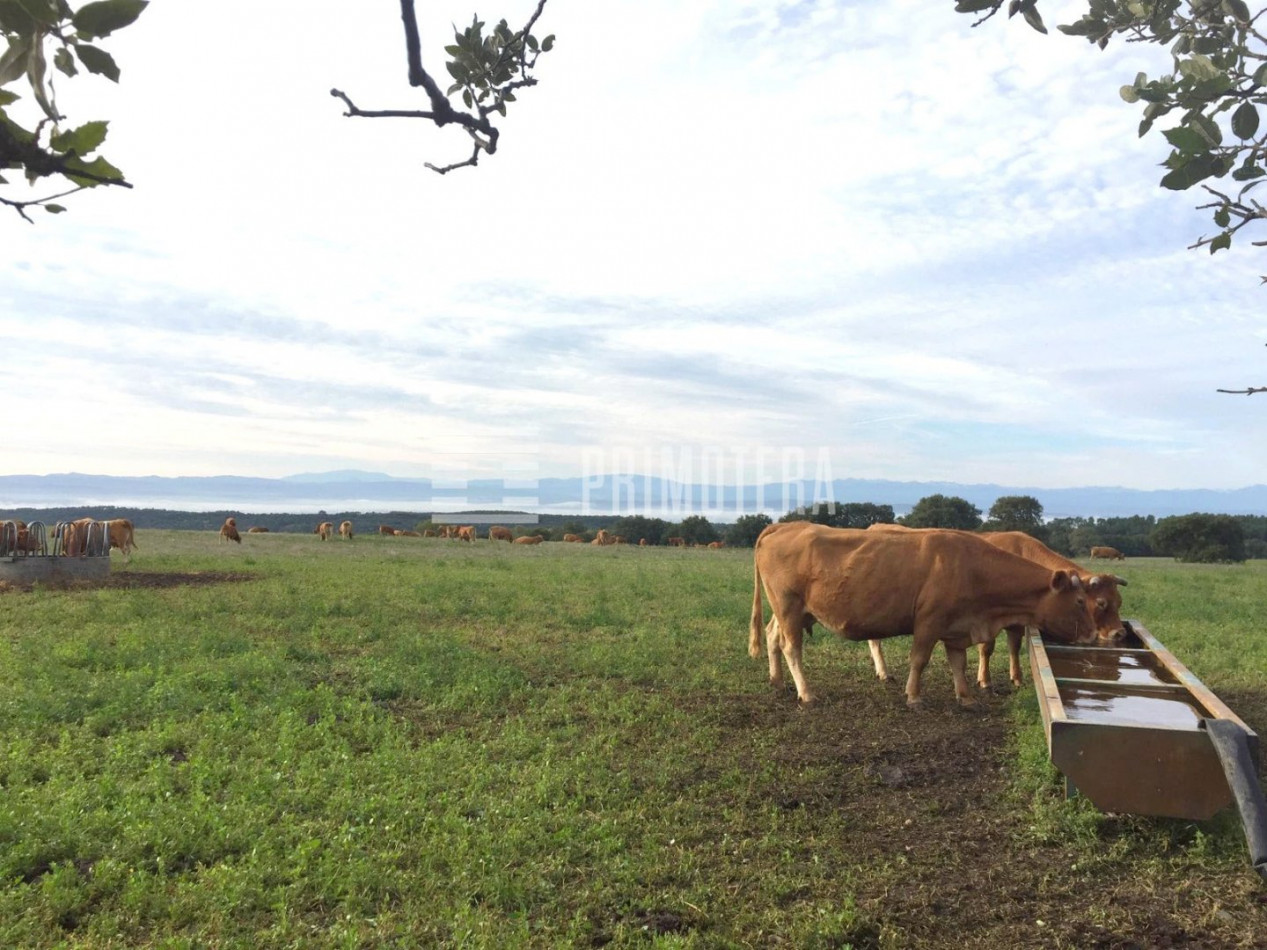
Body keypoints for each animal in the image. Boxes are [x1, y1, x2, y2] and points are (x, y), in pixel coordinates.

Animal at [750, 521, 1089, 709]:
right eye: (1081, 602)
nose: (1090, 637)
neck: (973, 568)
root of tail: (785, 525)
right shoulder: (929, 622)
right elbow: (919, 660)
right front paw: (913, 696)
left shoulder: (956, 627)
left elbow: (958, 663)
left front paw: (966, 697)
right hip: (788, 606)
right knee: (791, 647)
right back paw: (806, 693)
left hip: (790, 611)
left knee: (772, 636)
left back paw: (777, 682)